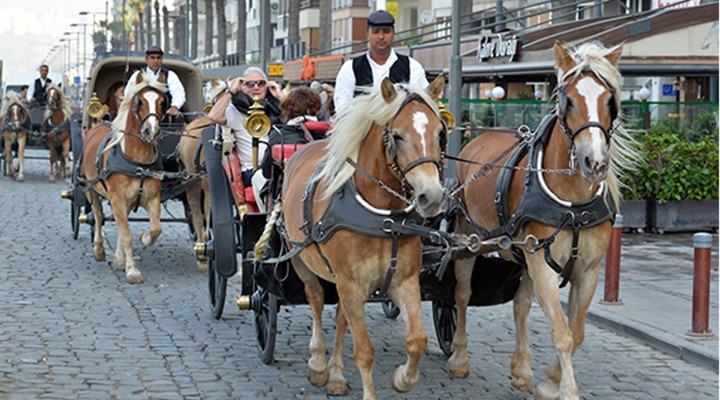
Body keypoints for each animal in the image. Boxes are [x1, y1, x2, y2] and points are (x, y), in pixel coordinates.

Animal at [278, 76, 448, 400]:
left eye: (440, 134)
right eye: (397, 136)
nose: (431, 197)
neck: (384, 218)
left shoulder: (404, 281)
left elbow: (417, 340)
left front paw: (403, 379)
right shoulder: (351, 283)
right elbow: (365, 352)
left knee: (341, 316)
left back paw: (336, 375)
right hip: (300, 259)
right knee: (316, 299)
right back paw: (318, 364)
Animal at [448, 40, 640, 400]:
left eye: (610, 100)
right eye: (568, 99)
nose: (595, 162)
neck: (573, 203)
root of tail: (478, 138)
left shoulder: (587, 270)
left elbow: (576, 332)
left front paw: (548, 382)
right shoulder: (543, 265)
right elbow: (562, 333)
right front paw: (566, 390)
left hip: (523, 256)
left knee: (521, 304)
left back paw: (521, 369)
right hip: (470, 240)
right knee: (461, 295)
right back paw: (459, 358)